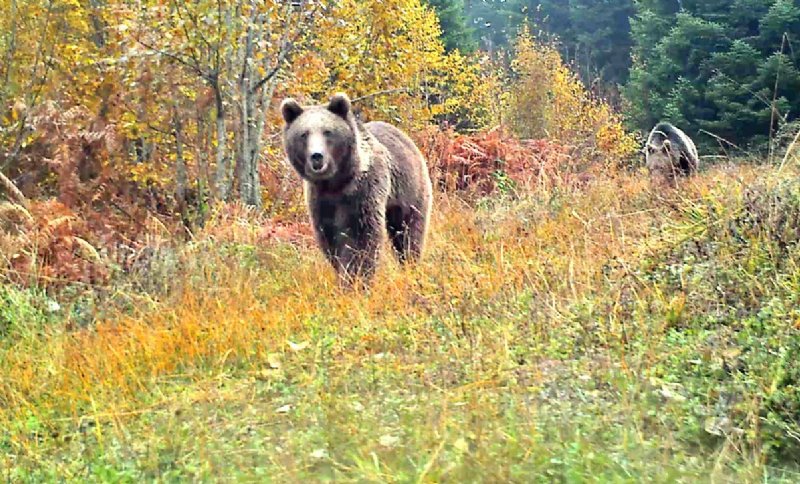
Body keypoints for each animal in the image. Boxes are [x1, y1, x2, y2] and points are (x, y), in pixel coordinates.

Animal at [280, 92, 432, 286]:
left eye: (327, 131)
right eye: (303, 134)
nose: (316, 156)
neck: (335, 182)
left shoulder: (363, 192)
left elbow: (361, 238)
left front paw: (356, 278)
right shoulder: (321, 201)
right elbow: (330, 239)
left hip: (409, 191)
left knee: (407, 233)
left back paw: (410, 263)